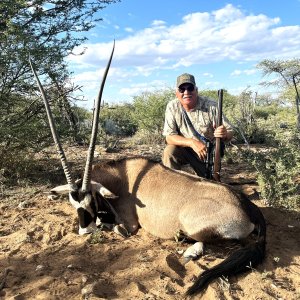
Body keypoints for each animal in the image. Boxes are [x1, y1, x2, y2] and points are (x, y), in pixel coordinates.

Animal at [29, 43, 266, 296]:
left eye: (91, 199)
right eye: (73, 203)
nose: (84, 231)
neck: (121, 178)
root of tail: (248, 206)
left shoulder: (129, 223)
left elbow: (114, 228)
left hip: (195, 226)